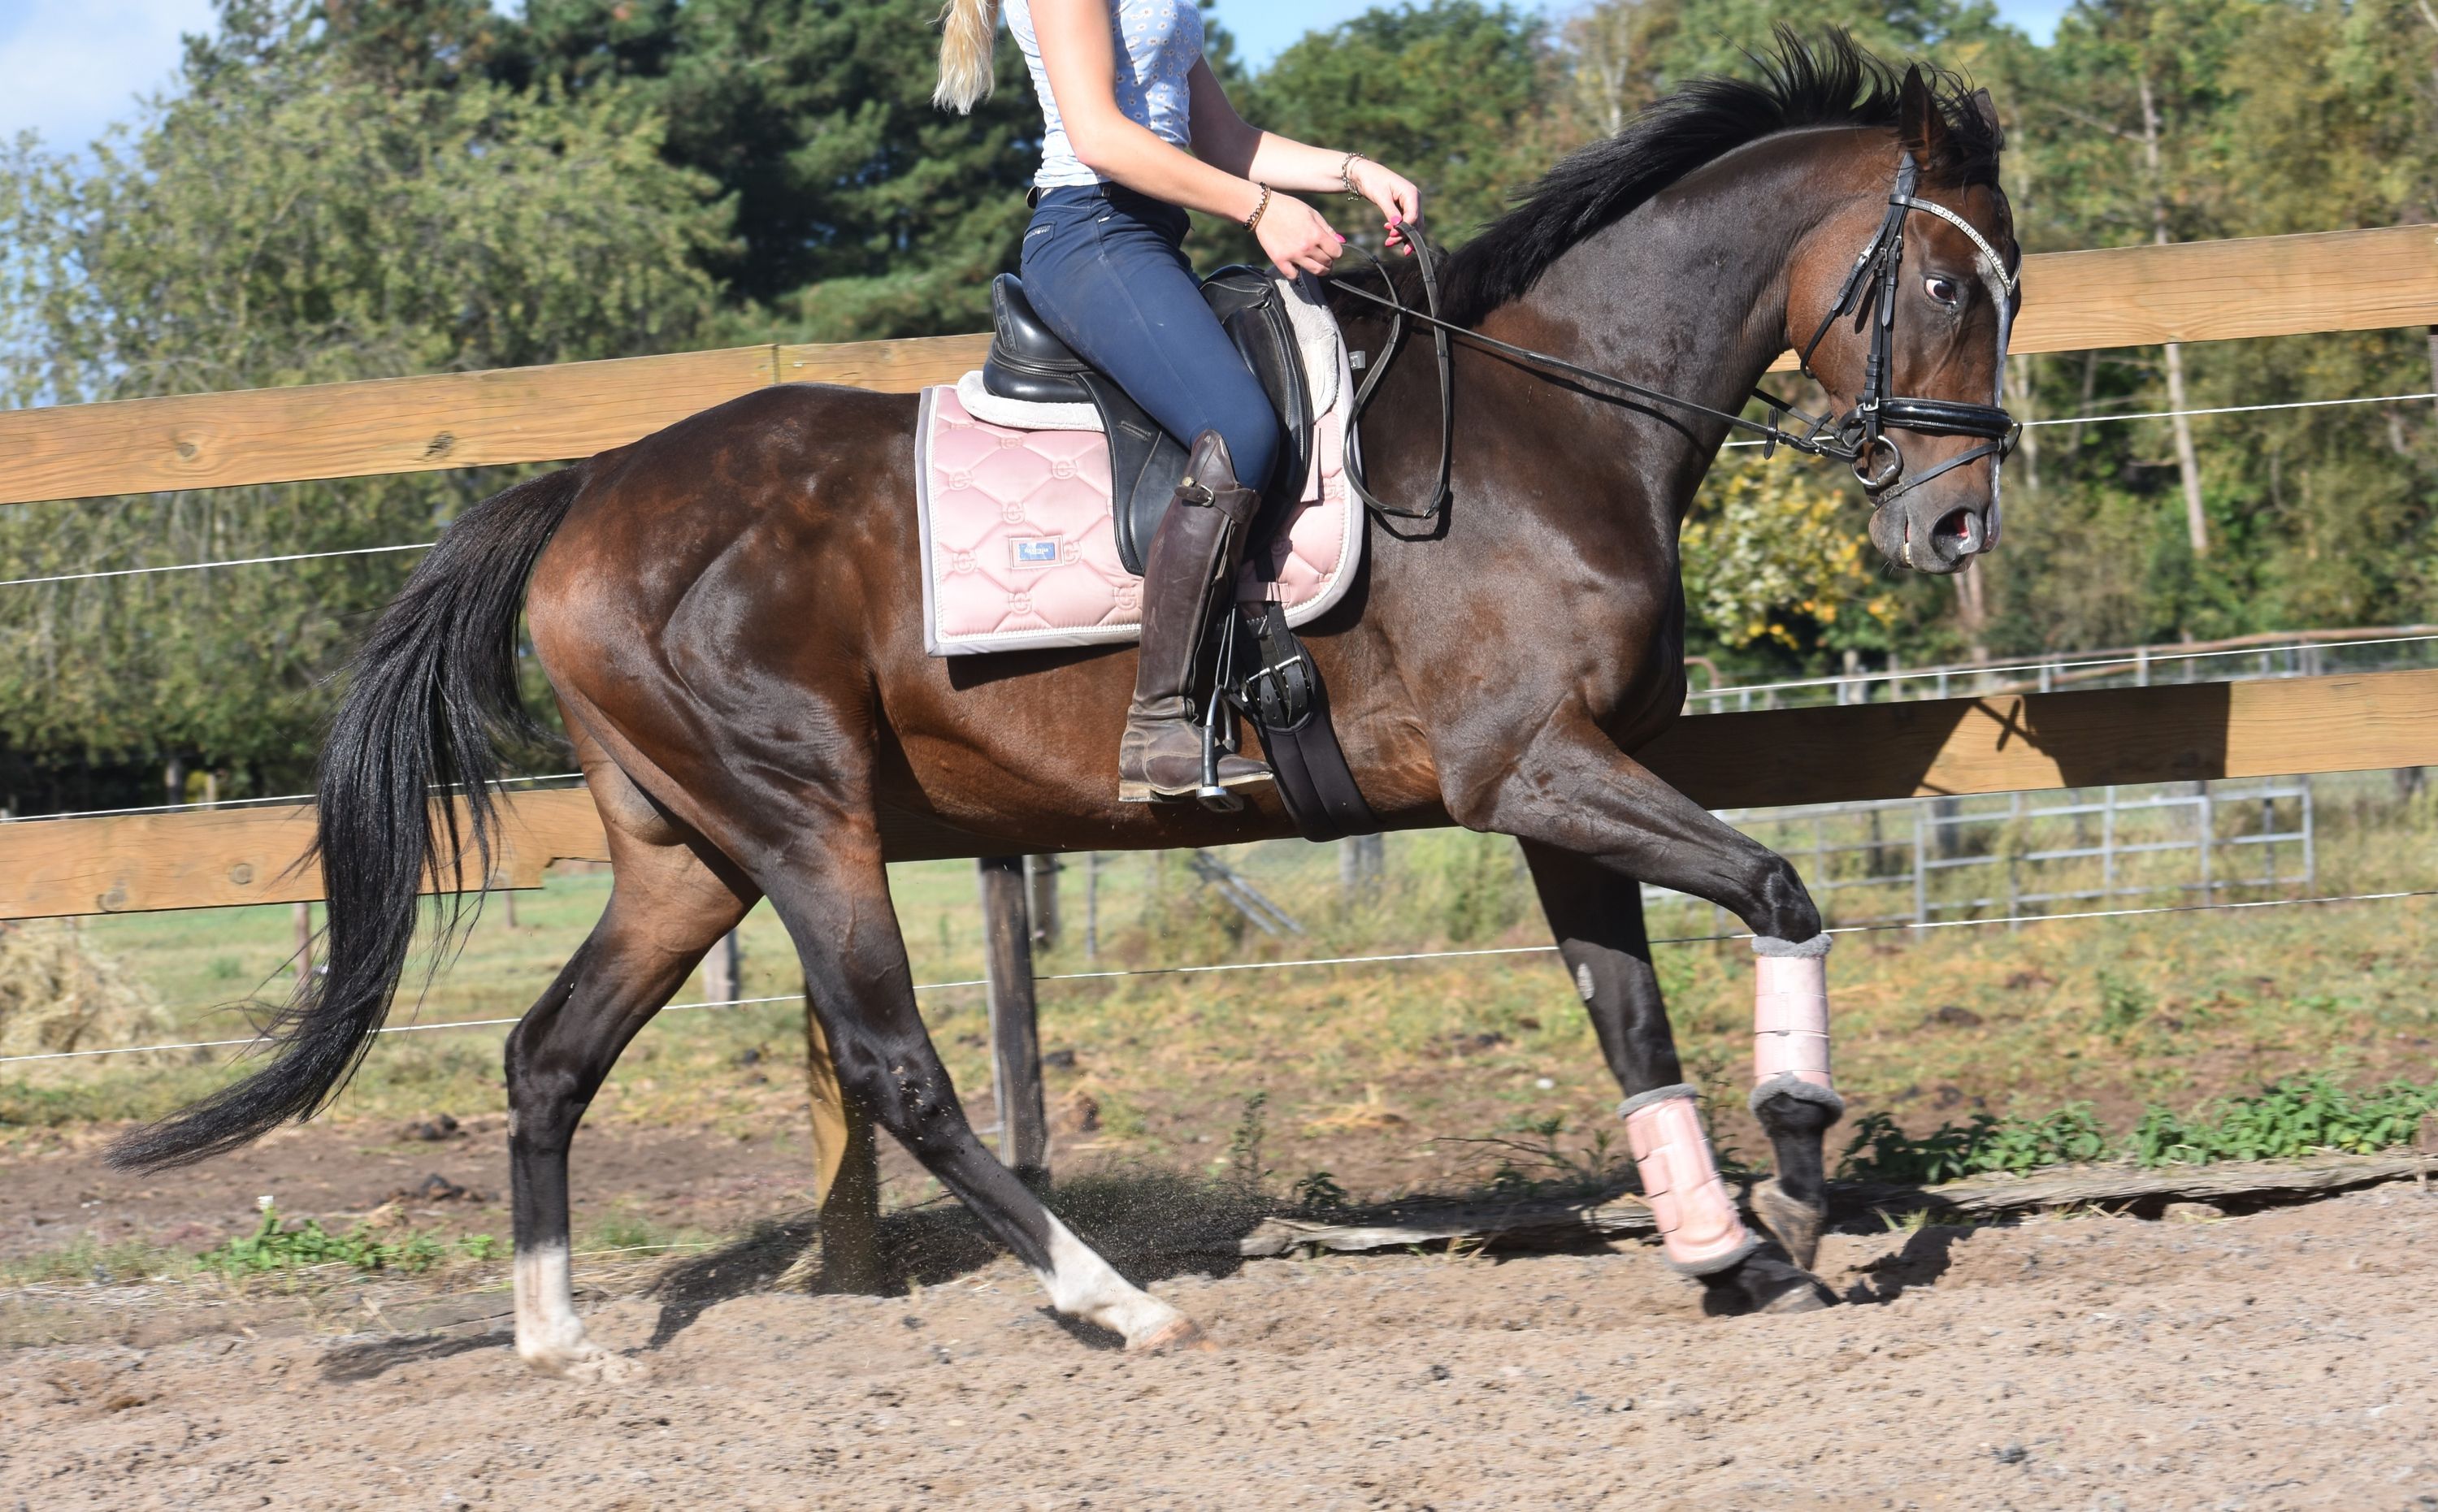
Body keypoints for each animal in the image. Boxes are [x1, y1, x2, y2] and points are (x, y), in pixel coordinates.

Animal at [114, 34, 2019, 1382]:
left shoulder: (1555, 787)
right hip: (806, 821)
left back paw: (558, 1336)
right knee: (897, 1070)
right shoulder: (1535, 771)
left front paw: (1727, 1251)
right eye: (1946, 285)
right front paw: (1796, 1175)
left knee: (547, 1054)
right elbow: (1778, 889)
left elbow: (1629, 1019)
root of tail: (587, 490)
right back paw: (1121, 1304)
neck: (1553, 425)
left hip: (685, 853)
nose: (1956, 526)